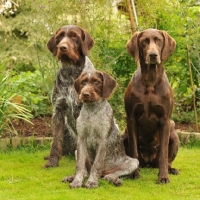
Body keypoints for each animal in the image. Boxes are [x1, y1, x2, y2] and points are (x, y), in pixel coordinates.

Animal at [43, 25, 95, 169]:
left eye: (74, 36)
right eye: (60, 36)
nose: (62, 47)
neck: (71, 73)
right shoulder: (58, 110)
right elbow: (55, 141)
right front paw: (52, 161)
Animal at [122, 28, 180, 184]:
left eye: (158, 40)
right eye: (144, 41)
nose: (153, 55)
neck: (150, 81)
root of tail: (148, 162)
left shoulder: (165, 120)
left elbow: (164, 155)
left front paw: (163, 177)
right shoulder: (131, 118)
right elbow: (134, 150)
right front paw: (134, 174)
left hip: (174, 133)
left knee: (168, 159)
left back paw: (171, 169)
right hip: (123, 134)